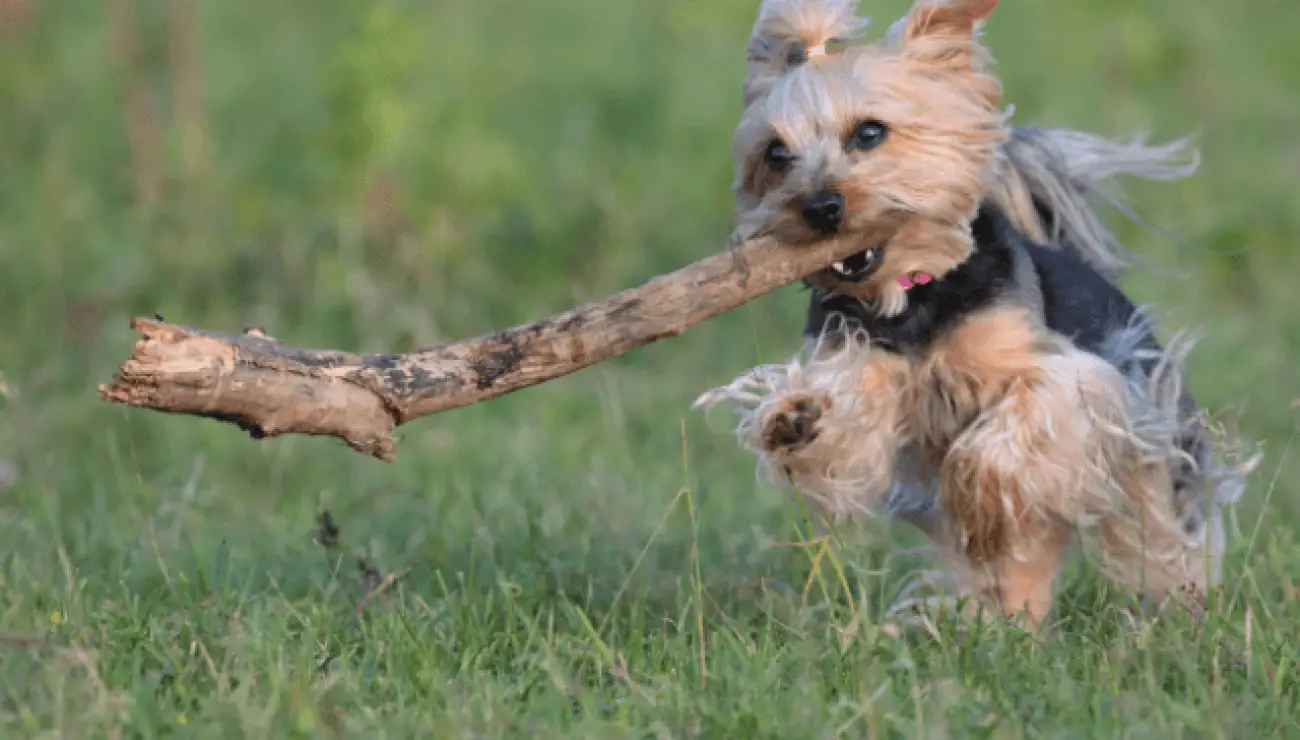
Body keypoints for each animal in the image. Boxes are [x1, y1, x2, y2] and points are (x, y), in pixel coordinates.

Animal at [702, 0, 1258, 629]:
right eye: (776, 154)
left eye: (869, 132)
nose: (820, 206)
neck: (912, 299)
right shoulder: (867, 367)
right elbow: (850, 425)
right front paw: (798, 417)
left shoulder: (1068, 379)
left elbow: (1013, 425)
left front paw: (978, 493)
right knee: (1013, 568)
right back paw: (996, 624)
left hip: (1150, 448)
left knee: (1157, 536)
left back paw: (1180, 610)